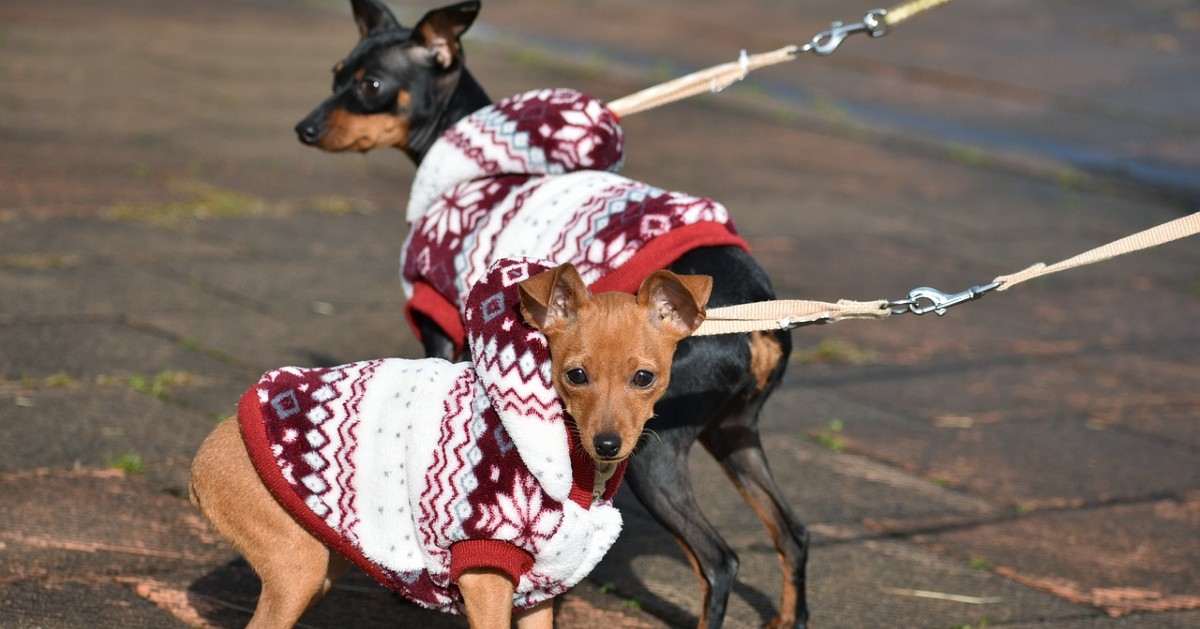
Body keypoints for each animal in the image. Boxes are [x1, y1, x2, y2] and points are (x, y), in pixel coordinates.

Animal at [190, 262, 705, 624]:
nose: (608, 443)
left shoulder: (539, 586)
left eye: (644, 378)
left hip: (323, 560)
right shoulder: (485, 569)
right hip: (298, 569)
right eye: (575, 375)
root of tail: (203, 457)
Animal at [295, 2, 811, 624]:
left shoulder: (439, 323)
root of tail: (758, 316)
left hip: (650, 451)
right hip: (734, 434)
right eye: (335, 74)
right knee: (794, 534)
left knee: (719, 562)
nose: (305, 129)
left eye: (371, 86)